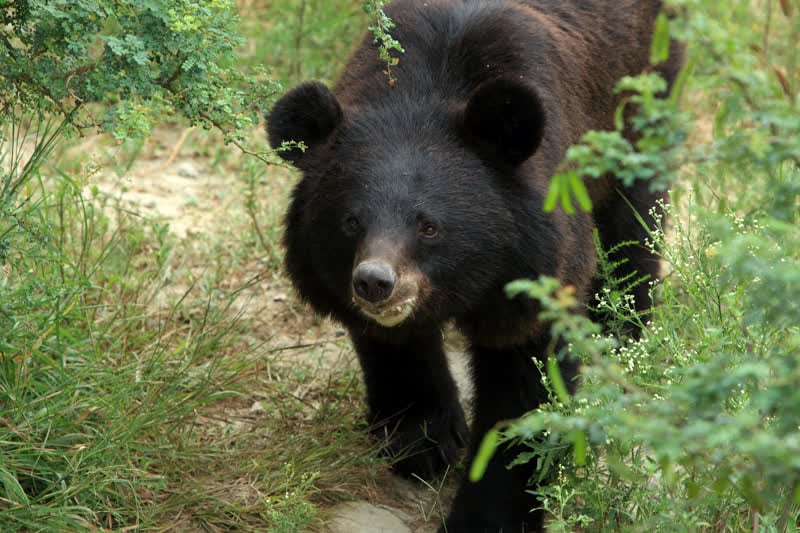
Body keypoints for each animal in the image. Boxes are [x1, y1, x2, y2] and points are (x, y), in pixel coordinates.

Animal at [268, 2, 680, 528]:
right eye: (350, 222)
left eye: (429, 226)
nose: (375, 283)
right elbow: (397, 349)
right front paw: (422, 443)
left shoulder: (536, 258)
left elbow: (524, 389)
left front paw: (484, 515)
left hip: (640, 87)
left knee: (632, 214)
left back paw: (622, 334)